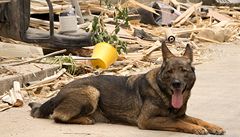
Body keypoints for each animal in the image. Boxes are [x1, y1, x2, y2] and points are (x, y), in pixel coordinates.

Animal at [29, 42, 225, 135]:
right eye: (170, 71)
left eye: (183, 71)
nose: (176, 84)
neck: (164, 92)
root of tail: (56, 94)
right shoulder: (147, 120)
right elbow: (178, 122)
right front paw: (196, 129)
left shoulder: (180, 114)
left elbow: (197, 119)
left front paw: (213, 127)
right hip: (92, 91)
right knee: (58, 116)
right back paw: (85, 119)